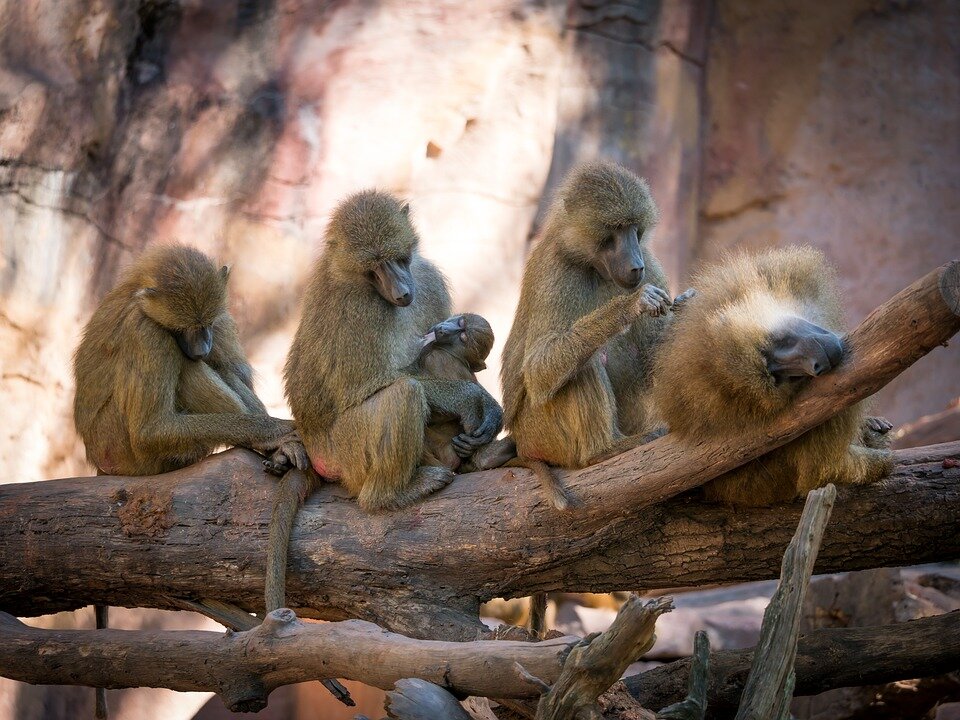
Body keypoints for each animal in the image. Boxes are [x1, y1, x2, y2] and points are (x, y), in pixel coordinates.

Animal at [72, 244, 312, 718]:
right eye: (186, 327)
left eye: (204, 325)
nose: (200, 345)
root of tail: (100, 462)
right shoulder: (149, 332)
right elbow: (151, 427)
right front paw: (272, 433)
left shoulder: (219, 324)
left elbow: (231, 369)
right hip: (129, 455)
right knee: (185, 373)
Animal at [267, 191, 502, 614]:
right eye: (373, 268)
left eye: (398, 257)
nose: (402, 293)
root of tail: (314, 445)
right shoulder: (356, 310)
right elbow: (369, 387)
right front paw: (474, 400)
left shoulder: (426, 279)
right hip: (347, 451)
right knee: (403, 394)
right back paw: (393, 495)